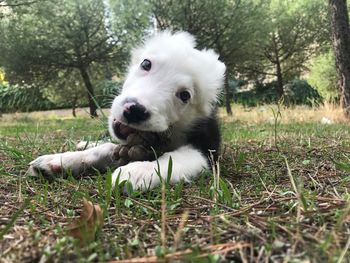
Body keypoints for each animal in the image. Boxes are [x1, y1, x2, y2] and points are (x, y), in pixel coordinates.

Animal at [29, 31, 227, 192]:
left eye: (185, 95)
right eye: (146, 63)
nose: (135, 110)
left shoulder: (207, 149)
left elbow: (174, 158)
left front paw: (138, 171)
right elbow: (105, 148)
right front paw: (60, 161)